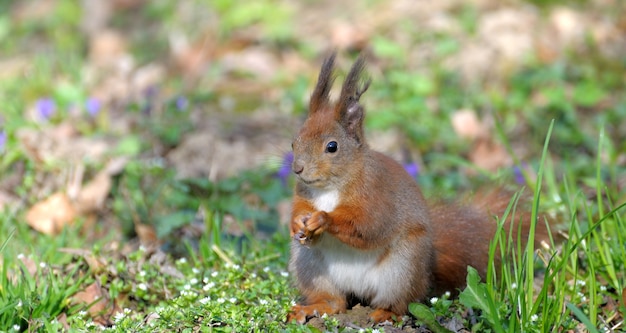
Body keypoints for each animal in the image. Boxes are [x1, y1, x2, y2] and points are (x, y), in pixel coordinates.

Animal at [286, 53, 544, 322]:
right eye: (295, 141)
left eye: (332, 147)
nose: (298, 169)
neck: (330, 188)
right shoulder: (304, 195)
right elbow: (300, 208)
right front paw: (296, 222)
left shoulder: (377, 196)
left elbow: (367, 225)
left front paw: (322, 219)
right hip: (309, 263)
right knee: (335, 302)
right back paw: (313, 307)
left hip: (403, 268)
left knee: (401, 302)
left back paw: (385, 313)